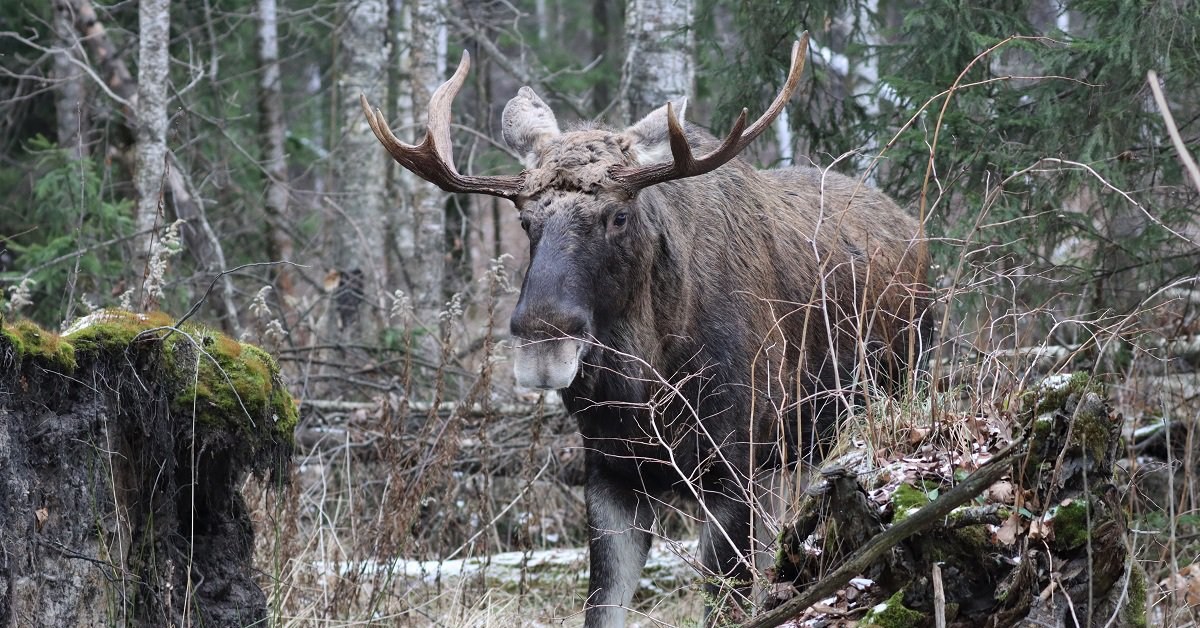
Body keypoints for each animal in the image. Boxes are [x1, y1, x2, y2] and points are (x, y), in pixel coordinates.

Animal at [360, 34, 931, 628]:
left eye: (619, 215)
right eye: (524, 219)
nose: (543, 335)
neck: (646, 387)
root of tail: (912, 228)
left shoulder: (730, 468)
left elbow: (724, 601)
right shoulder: (611, 475)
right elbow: (602, 606)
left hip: (889, 391)